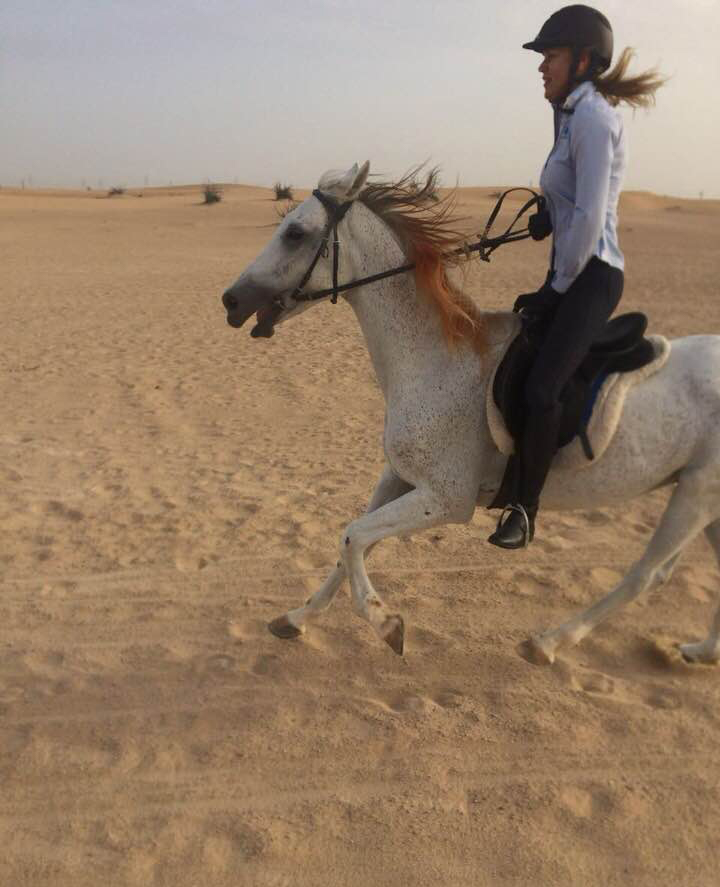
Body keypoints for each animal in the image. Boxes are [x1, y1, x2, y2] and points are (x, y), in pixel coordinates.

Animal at [222, 161, 720, 664]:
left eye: (295, 233)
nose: (230, 300)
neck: (436, 358)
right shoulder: (399, 477)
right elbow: (347, 546)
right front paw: (296, 618)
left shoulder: (447, 499)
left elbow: (354, 536)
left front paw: (387, 624)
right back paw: (701, 651)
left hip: (696, 496)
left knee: (648, 574)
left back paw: (548, 642)